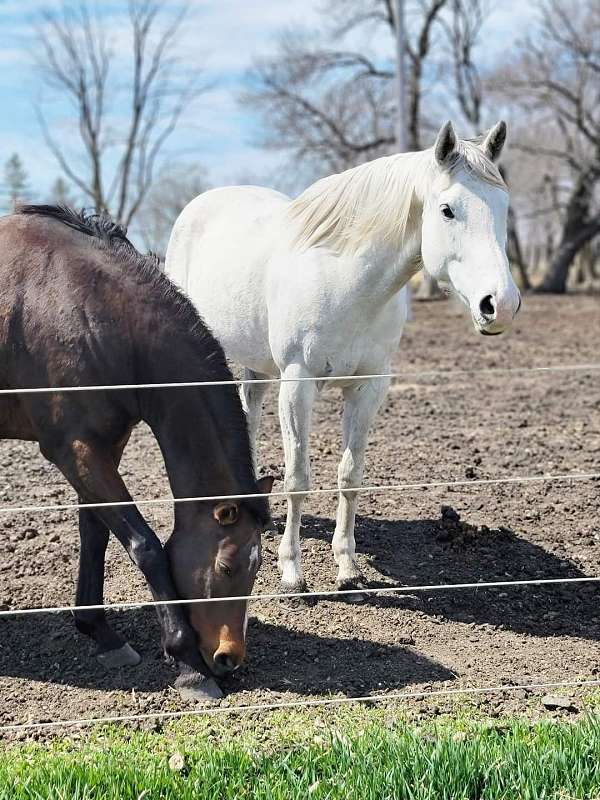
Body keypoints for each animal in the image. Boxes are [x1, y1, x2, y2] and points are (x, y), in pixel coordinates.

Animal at [0, 206, 274, 700]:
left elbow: (96, 533)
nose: (229, 658)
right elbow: (145, 545)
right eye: (226, 568)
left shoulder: (105, 445)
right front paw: (187, 664)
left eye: (257, 568)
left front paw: (100, 633)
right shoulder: (73, 450)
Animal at [165, 120, 520, 600]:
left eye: (504, 207)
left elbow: (350, 476)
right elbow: (298, 478)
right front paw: (292, 573)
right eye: (447, 210)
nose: (500, 305)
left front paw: (347, 568)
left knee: (248, 415)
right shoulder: (298, 385)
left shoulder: (369, 387)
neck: (347, 281)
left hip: (257, 364)